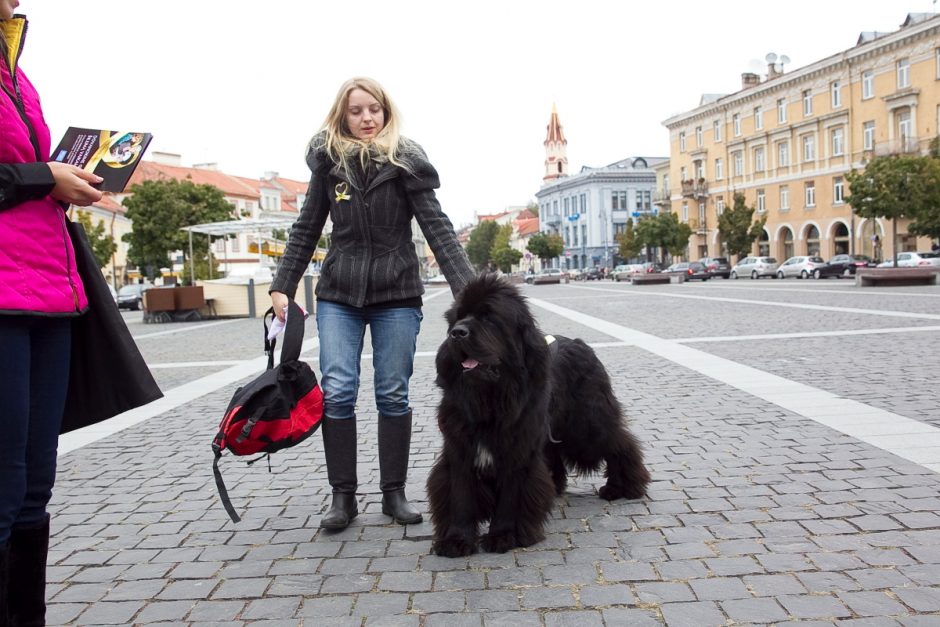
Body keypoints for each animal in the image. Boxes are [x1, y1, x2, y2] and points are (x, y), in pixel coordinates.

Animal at [430, 272, 648, 556]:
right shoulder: (459, 449)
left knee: (620, 444)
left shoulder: (517, 450)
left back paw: (622, 487)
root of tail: (582, 344)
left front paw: (504, 536)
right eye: (457, 318)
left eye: (489, 318)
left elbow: (511, 496)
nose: (457, 333)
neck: (491, 399)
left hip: (586, 425)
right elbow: (460, 495)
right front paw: (456, 540)